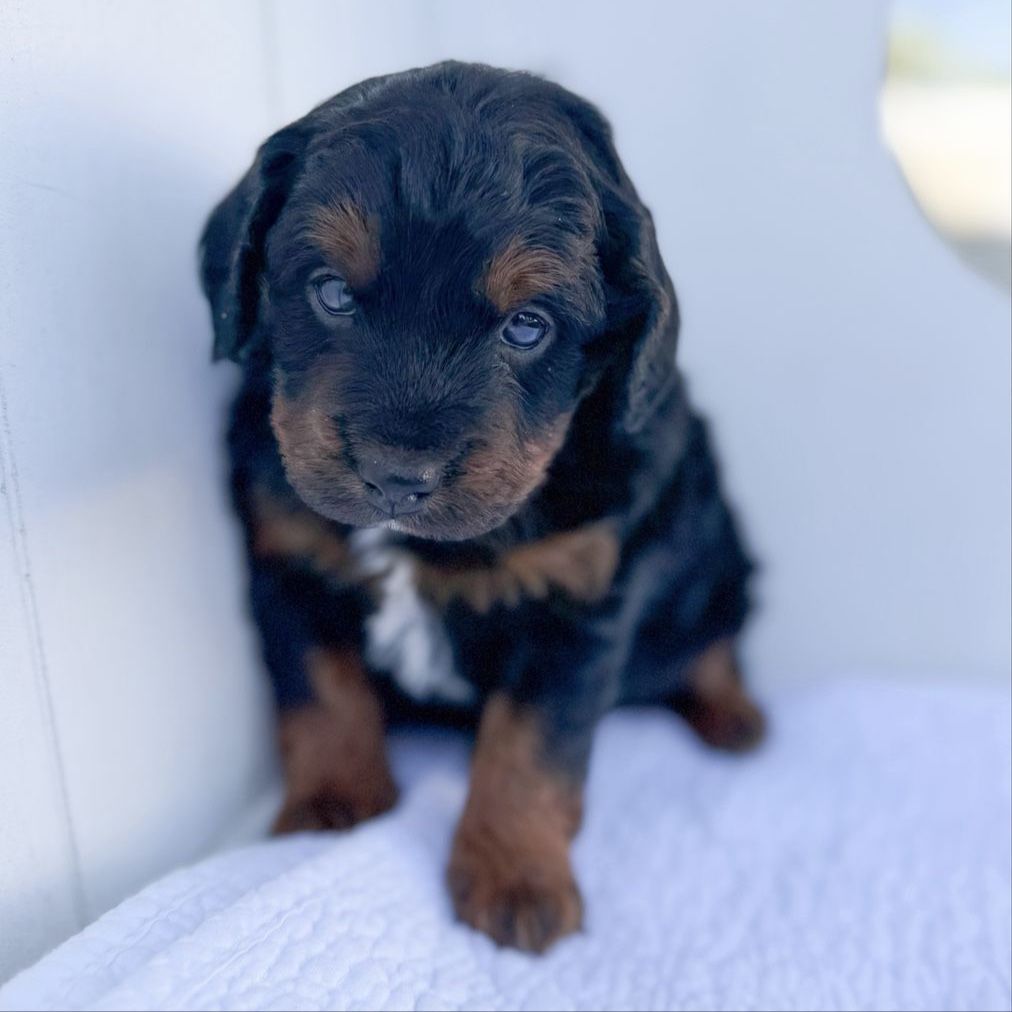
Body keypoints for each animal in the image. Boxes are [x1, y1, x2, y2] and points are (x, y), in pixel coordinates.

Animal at [200, 61, 764, 953]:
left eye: (527, 327)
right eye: (332, 294)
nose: (397, 475)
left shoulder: (577, 607)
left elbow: (530, 751)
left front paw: (516, 878)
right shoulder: (285, 563)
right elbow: (319, 692)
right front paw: (331, 807)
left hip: (717, 553)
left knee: (714, 635)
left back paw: (735, 714)